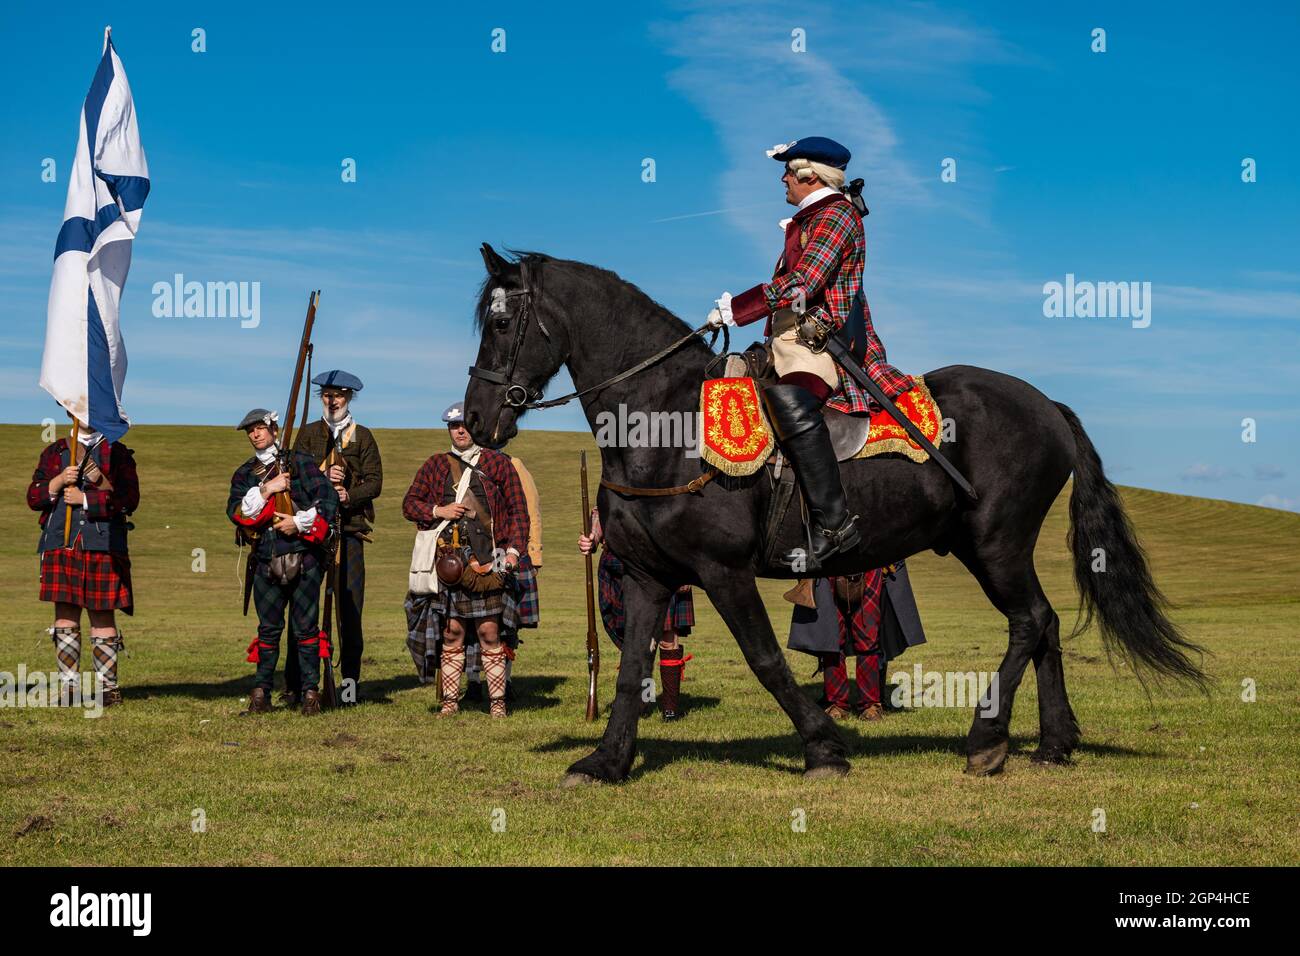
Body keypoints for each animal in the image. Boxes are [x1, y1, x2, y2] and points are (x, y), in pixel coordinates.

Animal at [462, 244, 1201, 785]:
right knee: (1044, 624)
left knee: (1030, 622)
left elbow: (766, 660)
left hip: (996, 544)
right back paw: (1053, 743)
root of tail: (1047, 405)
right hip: (984, 547)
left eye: (500, 322)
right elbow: (626, 673)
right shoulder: (649, 575)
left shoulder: (722, 571)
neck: (662, 420)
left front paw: (823, 747)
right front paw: (607, 761)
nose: (476, 418)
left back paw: (986, 738)